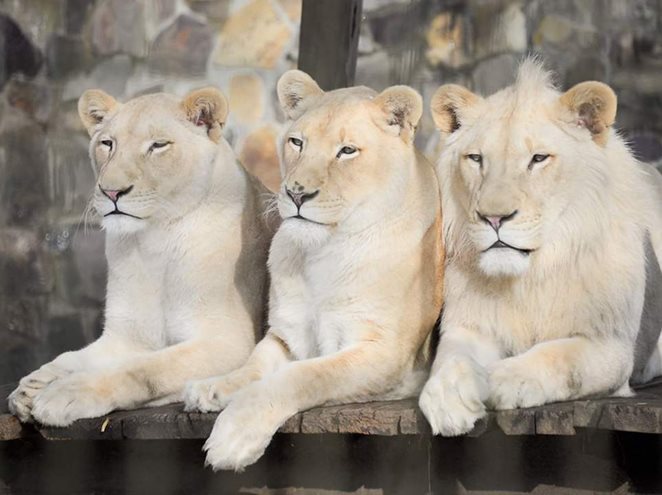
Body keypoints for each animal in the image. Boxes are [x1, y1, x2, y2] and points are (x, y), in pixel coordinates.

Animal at [7, 86, 274, 426]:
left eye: (158, 145)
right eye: (108, 144)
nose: (111, 192)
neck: (155, 238)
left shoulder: (228, 340)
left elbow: (144, 369)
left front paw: (63, 393)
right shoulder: (126, 336)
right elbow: (72, 358)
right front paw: (30, 387)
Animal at [184, 70, 446, 472]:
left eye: (347, 151)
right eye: (297, 142)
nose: (296, 194)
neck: (324, 251)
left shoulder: (386, 354)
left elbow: (302, 375)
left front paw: (234, 436)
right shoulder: (286, 335)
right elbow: (254, 365)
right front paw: (212, 387)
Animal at [420, 60, 662, 436]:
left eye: (538, 158)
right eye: (475, 158)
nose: (494, 217)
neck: (530, 276)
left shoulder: (612, 345)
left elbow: (561, 356)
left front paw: (504, 378)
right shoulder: (470, 326)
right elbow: (451, 358)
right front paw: (448, 396)